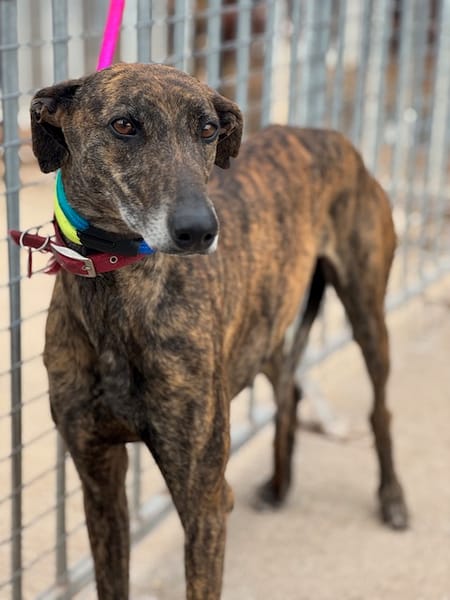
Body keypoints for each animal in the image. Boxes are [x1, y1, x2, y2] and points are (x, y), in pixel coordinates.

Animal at [30, 63, 408, 599]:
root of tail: (328, 134)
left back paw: (392, 498)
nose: (199, 231)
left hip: (366, 311)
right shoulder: (99, 483)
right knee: (289, 390)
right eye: (124, 125)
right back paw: (279, 485)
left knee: (380, 408)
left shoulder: (205, 502)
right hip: (262, 328)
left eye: (208, 129)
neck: (120, 291)